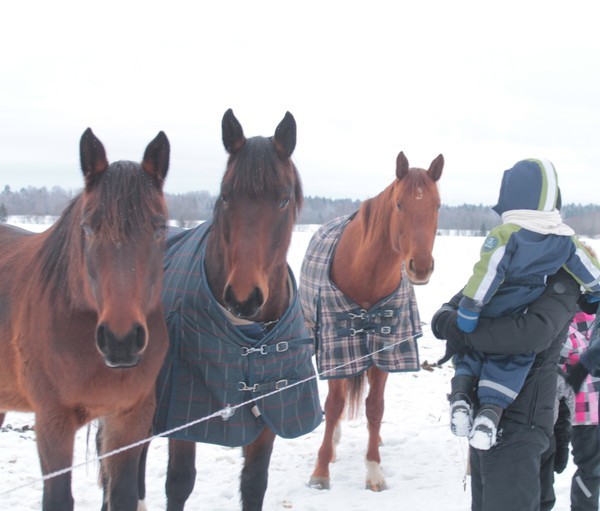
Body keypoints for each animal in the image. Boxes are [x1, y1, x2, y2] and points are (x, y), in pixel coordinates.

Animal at [0, 131, 170, 511]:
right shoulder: (53, 424)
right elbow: (58, 498)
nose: (121, 341)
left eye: (159, 227)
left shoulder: (129, 420)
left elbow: (122, 495)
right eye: (88, 228)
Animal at [148, 109, 322, 511]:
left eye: (283, 200)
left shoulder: (270, 413)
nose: (244, 297)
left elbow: (254, 483)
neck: (250, 337)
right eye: (226, 196)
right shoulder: (184, 418)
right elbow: (179, 482)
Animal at [298, 151, 442, 492]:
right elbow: (334, 405)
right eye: (400, 204)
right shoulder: (337, 348)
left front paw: (374, 469)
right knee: (334, 403)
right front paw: (321, 470)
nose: (421, 267)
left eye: (437, 206)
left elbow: (375, 407)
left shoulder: (385, 349)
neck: (365, 273)